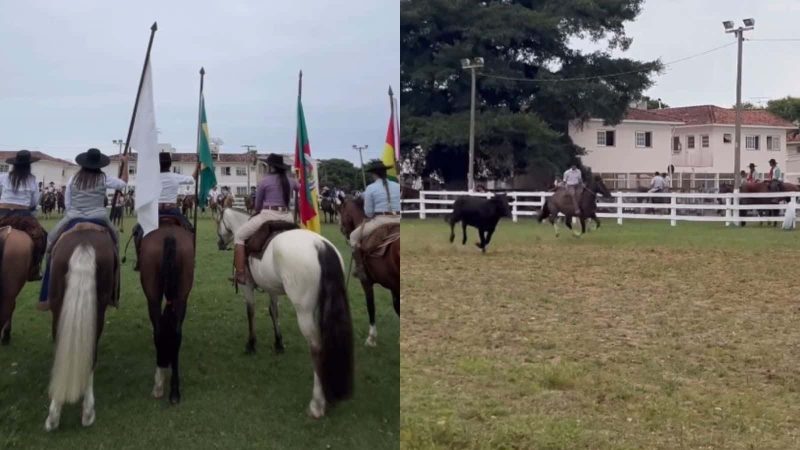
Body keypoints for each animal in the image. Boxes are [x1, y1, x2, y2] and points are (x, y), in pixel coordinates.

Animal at [138, 221, 194, 404]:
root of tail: (168, 235)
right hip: (182, 294)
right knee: (176, 333)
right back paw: (174, 391)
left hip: (152, 296)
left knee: (158, 330)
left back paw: (159, 384)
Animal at [216, 208, 354, 418]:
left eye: (219, 221)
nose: (220, 243)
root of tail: (320, 247)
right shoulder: (271, 288)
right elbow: (274, 312)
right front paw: (278, 343)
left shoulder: (247, 286)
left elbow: (251, 311)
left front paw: (251, 344)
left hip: (304, 312)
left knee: (316, 348)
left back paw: (317, 404)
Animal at [340, 198, 398, 348]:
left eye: (342, 211)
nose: (342, 230)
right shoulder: (394, 288)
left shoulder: (366, 283)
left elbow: (371, 306)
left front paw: (371, 338)